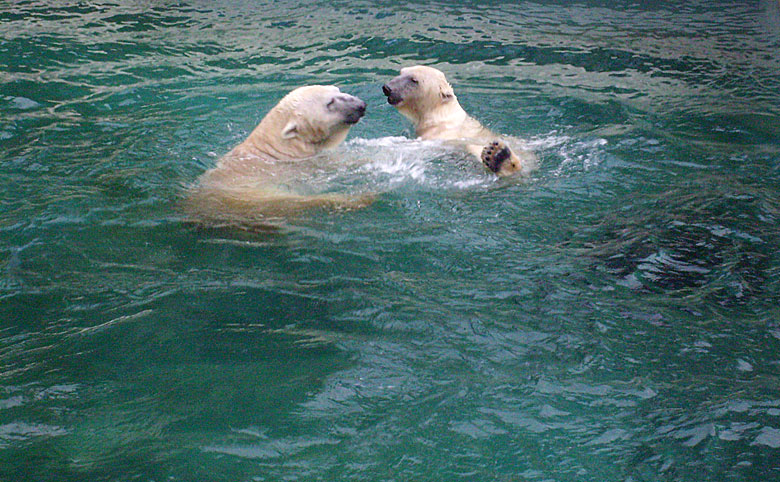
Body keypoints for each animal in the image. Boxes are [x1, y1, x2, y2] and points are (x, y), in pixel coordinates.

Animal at [380, 65, 536, 175]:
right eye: (401, 72)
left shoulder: (439, 136)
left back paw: (499, 157)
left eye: (414, 80)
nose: (387, 88)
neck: (439, 115)